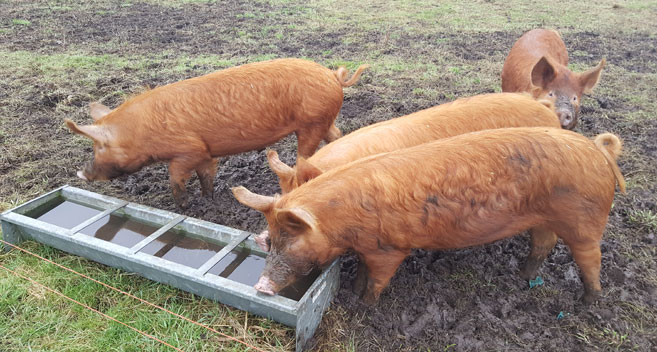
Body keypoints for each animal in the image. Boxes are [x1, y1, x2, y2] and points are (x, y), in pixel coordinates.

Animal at [65, 57, 368, 206]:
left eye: (98, 147)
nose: (81, 173)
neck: (142, 132)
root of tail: (332, 75)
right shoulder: (206, 153)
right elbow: (206, 175)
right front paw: (208, 199)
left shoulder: (188, 150)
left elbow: (176, 177)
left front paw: (184, 206)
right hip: (323, 120)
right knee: (337, 135)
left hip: (311, 123)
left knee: (309, 152)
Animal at [232, 127, 624, 306]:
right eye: (272, 239)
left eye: (291, 240)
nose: (260, 285)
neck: (344, 220)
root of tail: (597, 151)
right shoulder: (368, 247)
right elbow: (363, 271)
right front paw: (356, 292)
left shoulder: (391, 249)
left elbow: (378, 279)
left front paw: (364, 305)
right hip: (544, 219)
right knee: (543, 244)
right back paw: (523, 277)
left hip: (585, 220)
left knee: (591, 257)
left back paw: (589, 301)